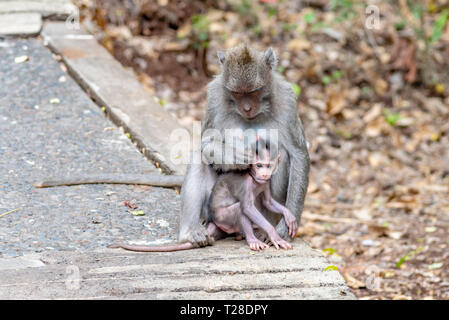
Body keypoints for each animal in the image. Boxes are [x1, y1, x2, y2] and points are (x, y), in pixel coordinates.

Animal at [110, 141, 296, 251]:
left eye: (268, 166)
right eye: (259, 165)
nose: (264, 173)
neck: (254, 179)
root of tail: (212, 221)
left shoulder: (264, 183)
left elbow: (268, 201)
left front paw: (289, 216)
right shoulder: (245, 185)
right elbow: (247, 207)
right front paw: (274, 234)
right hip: (221, 217)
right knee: (239, 209)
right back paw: (251, 239)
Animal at [178, 43, 308, 246]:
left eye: (254, 91)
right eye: (237, 93)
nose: (247, 108)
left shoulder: (287, 100)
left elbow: (298, 154)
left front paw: (285, 228)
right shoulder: (214, 98)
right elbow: (206, 143)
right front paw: (231, 156)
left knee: (283, 155)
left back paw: (264, 230)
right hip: (214, 211)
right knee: (200, 158)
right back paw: (191, 232)